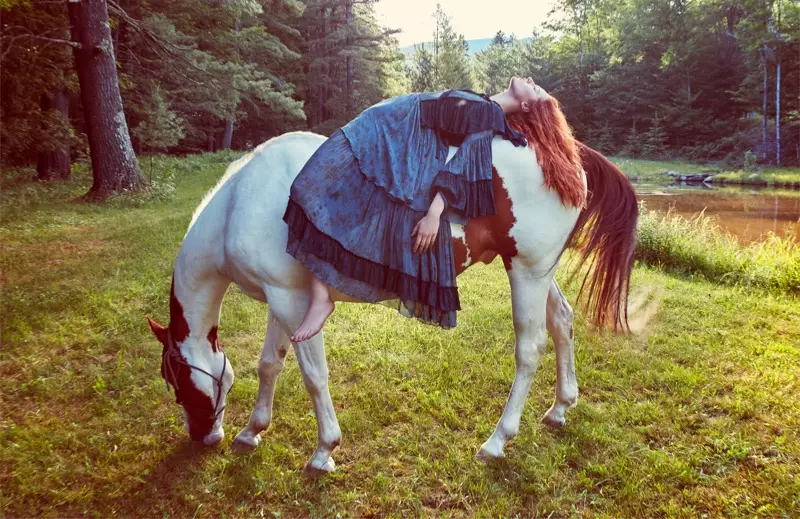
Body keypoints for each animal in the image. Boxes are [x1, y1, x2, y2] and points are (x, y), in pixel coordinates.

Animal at [145, 124, 636, 474]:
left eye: (174, 380)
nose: (202, 437)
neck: (243, 201)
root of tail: (567, 153)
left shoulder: (290, 303)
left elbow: (313, 377)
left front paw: (324, 451)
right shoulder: (281, 300)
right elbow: (270, 364)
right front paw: (252, 432)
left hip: (527, 273)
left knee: (530, 349)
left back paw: (498, 440)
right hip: (535, 272)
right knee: (562, 322)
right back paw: (560, 407)